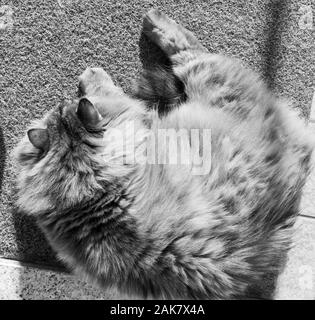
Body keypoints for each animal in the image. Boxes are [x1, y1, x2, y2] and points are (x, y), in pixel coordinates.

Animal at [13, 9, 314, 300]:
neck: (88, 187)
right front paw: (93, 76)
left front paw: (90, 77)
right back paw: (153, 19)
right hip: (210, 77)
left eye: (60, 108)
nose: (63, 103)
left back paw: (152, 19)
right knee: (189, 49)